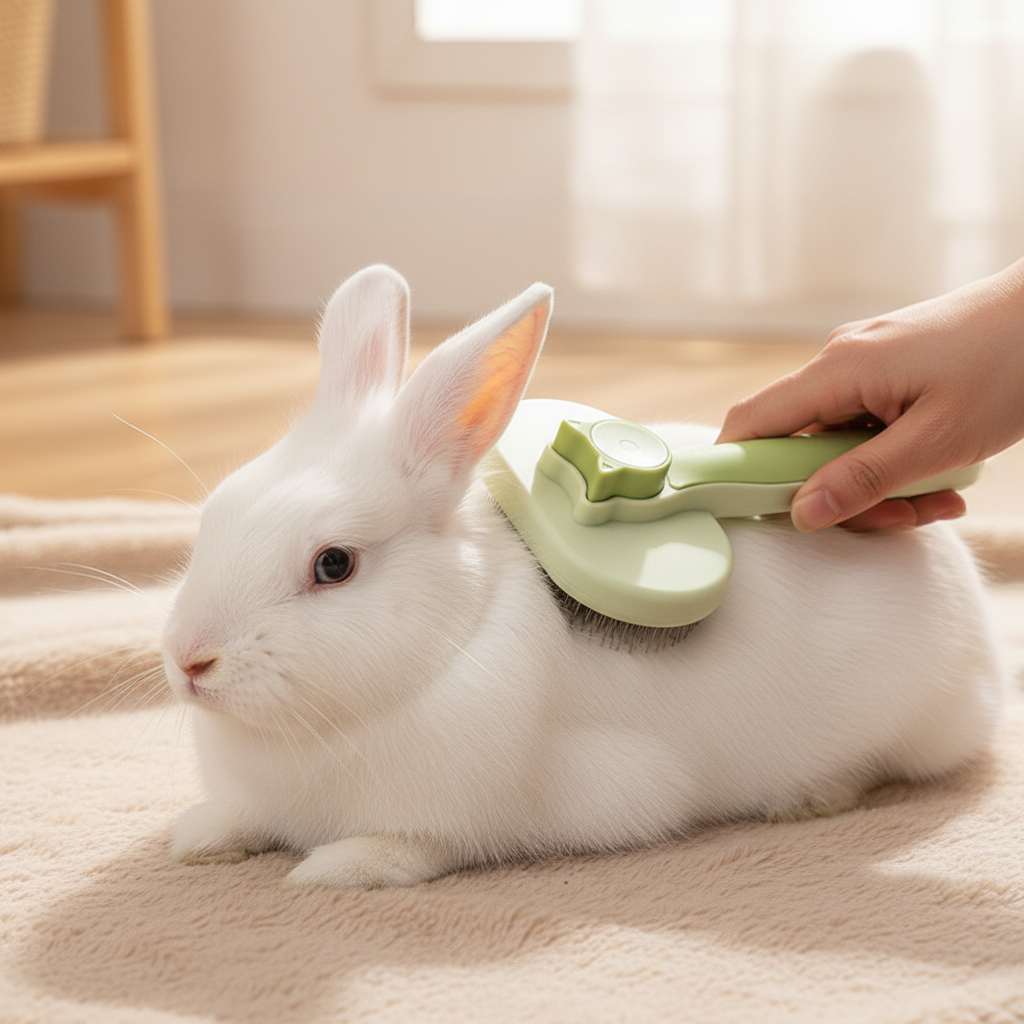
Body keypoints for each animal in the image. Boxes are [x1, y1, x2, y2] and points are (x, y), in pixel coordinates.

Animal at [163, 264, 1006, 889]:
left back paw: (810, 797)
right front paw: (197, 836)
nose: (189, 660)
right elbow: (240, 819)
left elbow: (414, 849)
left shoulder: (537, 803)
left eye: (333, 564)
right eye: (216, 512)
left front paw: (331, 869)